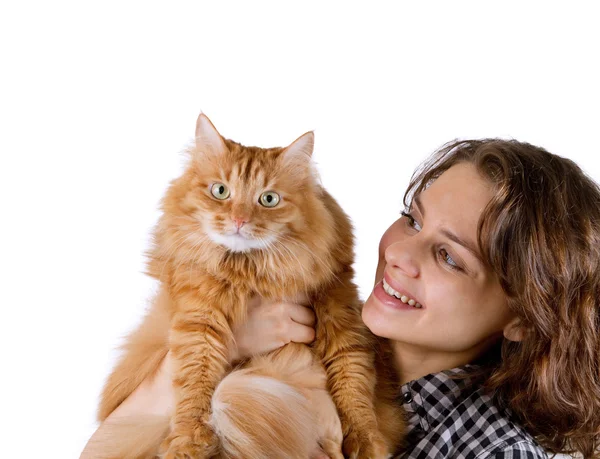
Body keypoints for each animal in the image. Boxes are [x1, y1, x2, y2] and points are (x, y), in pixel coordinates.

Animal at [98, 113, 404, 458]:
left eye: (268, 199)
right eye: (220, 191)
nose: (239, 220)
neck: (251, 274)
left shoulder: (339, 311)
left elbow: (352, 381)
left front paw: (365, 442)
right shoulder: (199, 321)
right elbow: (194, 381)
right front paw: (188, 442)